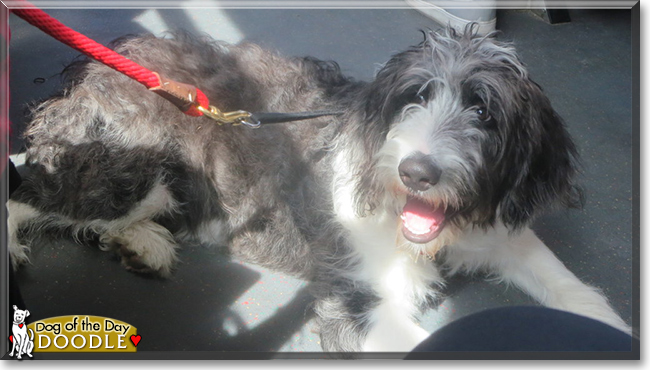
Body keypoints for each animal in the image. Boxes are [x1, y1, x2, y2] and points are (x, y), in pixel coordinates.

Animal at [7, 26, 628, 352]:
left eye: (483, 111)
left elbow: (560, 278)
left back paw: (143, 245)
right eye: (413, 99)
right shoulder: (353, 297)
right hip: (133, 168)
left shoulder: (496, 225)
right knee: (31, 186)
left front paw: (612, 328)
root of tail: (100, 71)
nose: (417, 173)